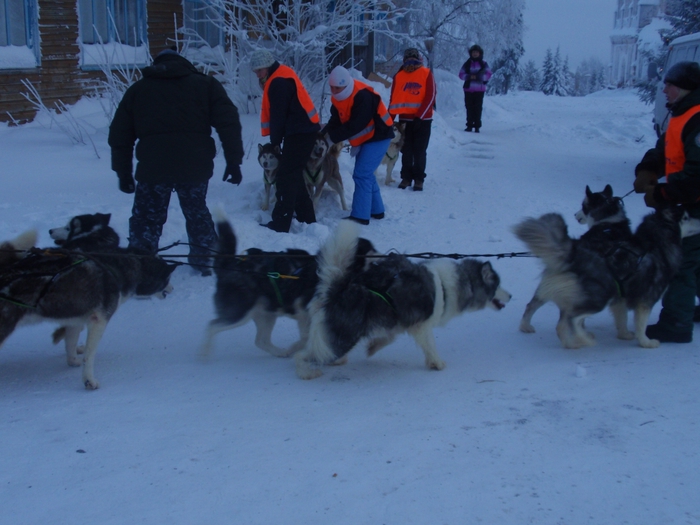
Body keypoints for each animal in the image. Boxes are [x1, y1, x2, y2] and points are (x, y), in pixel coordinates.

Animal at [0, 244, 175, 386]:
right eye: (167, 279)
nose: (172, 289)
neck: (116, 269)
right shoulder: (99, 321)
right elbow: (89, 356)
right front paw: (88, 380)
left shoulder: (74, 321)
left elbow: (71, 345)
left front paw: (73, 360)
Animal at [201, 211, 378, 358]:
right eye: (371, 255)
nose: (384, 255)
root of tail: (229, 263)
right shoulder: (305, 314)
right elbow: (306, 338)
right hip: (240, 311)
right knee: (212, 326)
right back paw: (204, 354)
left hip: (267, 314)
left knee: (261, 341)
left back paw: (281, 352)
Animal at [292, 223, 512, 378]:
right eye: (498, 284)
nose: (511, 296)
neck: (445, 285)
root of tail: (338, 288)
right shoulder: (422, 326)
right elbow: (430, 346)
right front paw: (437, 363)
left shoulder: (397, 321)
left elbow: (387, 339)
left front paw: (373, 347)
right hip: (341, 340)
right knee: (304, 356)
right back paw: (306, 372)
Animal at [516, 184, 684, 348]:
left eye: (583, 206)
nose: (575, 215)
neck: (608, 223)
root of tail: (572, 250)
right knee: (567, 318)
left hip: (551, 288)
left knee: (533, 306)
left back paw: (528, 327)